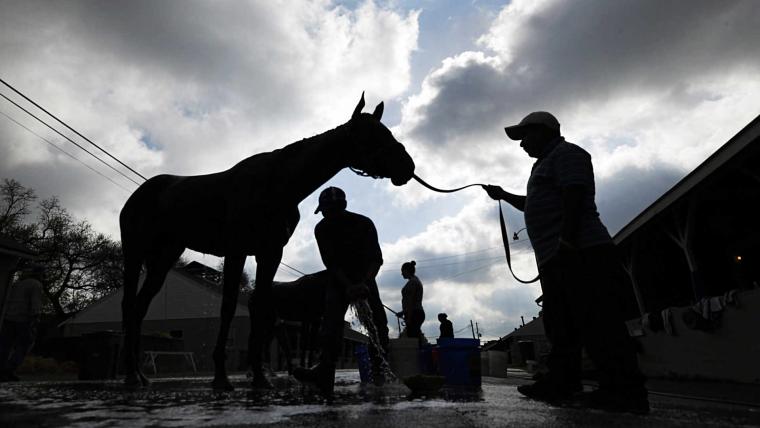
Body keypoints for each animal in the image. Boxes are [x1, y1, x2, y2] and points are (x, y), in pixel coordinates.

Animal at [119, 94, 416, 392]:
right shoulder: (236, 251)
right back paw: (131, 375)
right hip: (134, 253)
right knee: (128, 305)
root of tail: (139, 194)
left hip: (165, 256)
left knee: (140, 306)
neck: (276, 185)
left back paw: (140, 375)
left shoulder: (270, 253)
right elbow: (227, 307)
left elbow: (261, 307)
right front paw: (221, 378)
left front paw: (260, 378)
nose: (408, 166)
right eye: (370, 134)